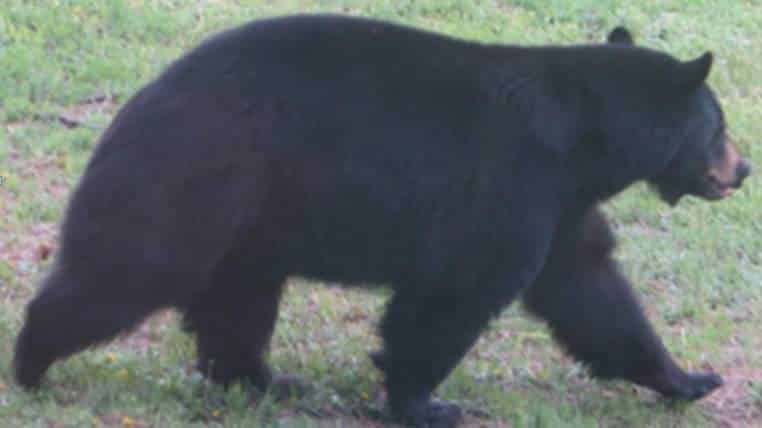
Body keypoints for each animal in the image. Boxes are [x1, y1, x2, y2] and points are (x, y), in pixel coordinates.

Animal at [13, 14, 751, 428]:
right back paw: (31, 363)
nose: (742, 169)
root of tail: (139, 100)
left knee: (238, 299)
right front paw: (425, 405)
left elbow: (590, 290)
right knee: (132, 267)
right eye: (718, 126)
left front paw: (689, 380)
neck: (581, 142)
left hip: (250, 219)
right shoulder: (509, 185)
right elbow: (456, 292)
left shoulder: (559, 207)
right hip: (193, 181)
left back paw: (265, 379)